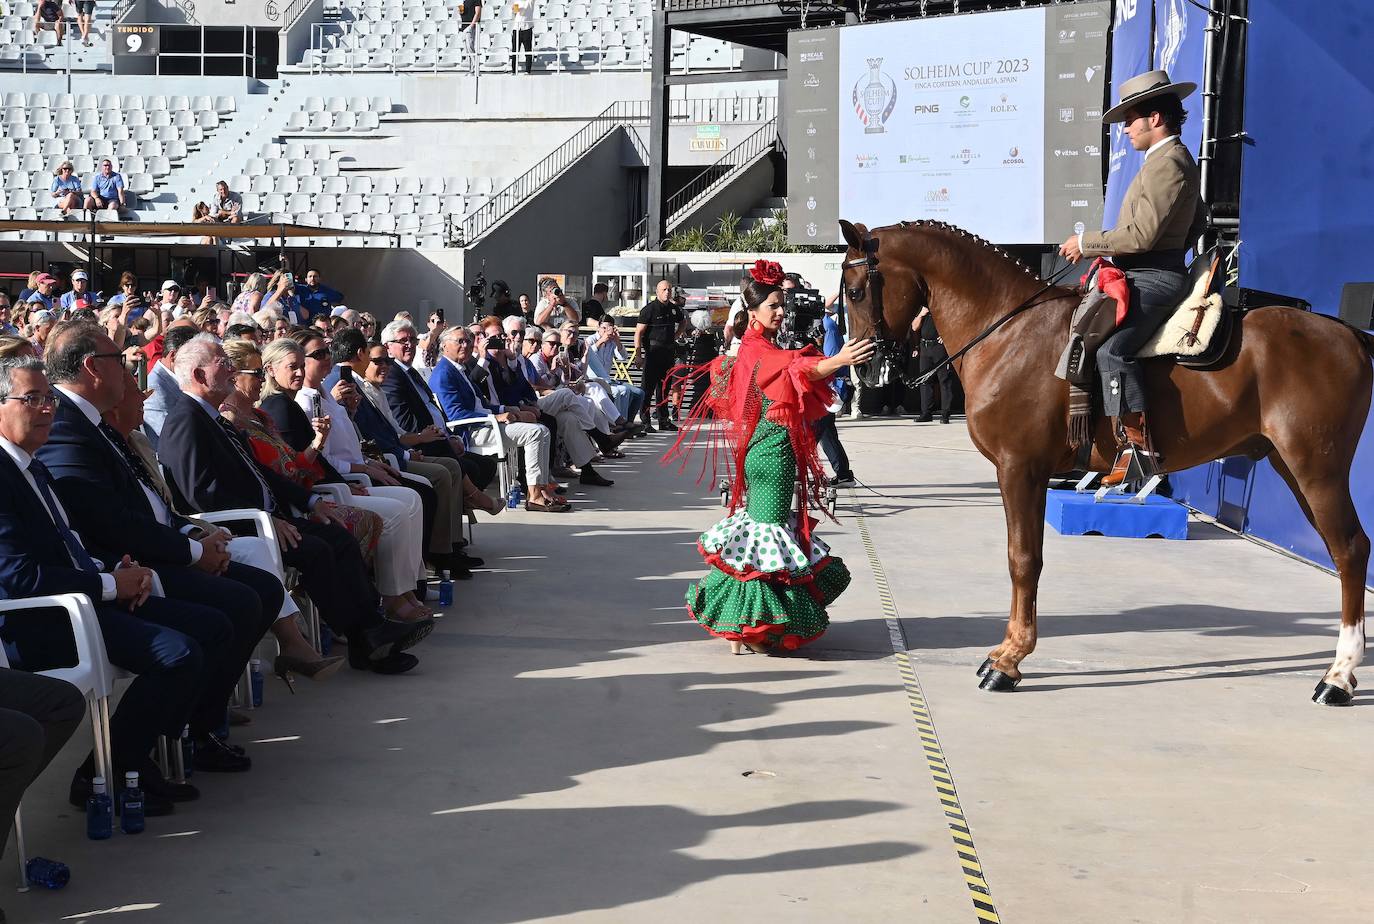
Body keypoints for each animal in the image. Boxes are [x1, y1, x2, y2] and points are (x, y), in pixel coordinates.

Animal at [835, 218, 1374, 709]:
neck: (1010, 331)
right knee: (1343, 551)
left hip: (1317, 471)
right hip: (1292, 469)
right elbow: (1025, 559)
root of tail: (1349, 335)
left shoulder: (1019, 468)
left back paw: (1339, 676)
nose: (865, 368)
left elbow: (1022, 560)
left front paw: (1009, 660)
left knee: (1350, 550)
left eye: (857, 291)